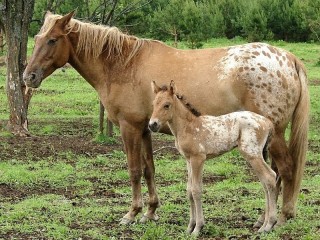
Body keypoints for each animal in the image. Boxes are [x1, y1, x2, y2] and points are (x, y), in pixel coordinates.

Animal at [150, 81, 278, 236]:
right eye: (153, 104)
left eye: (167, 105)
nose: (152, 125)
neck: (188, 126)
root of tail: (267, 122)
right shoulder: (188, 160)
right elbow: (189, 191)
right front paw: (189, 227)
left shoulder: (198, 158)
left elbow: (196, 190)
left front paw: (198, 228)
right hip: (256, 155)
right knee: (265, 182)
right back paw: (264, 225)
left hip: (252, 154)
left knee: (270, 177)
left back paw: (269, 224)